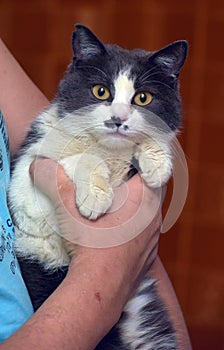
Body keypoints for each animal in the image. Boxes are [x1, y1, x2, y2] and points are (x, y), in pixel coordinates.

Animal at [7, 23, 188, 348]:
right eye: (101, 91)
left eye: (143, 98)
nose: (118, 119)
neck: (111, 153)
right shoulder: (27, 176)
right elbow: (82, 157)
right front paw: (95, 197)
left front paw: (156, 164)